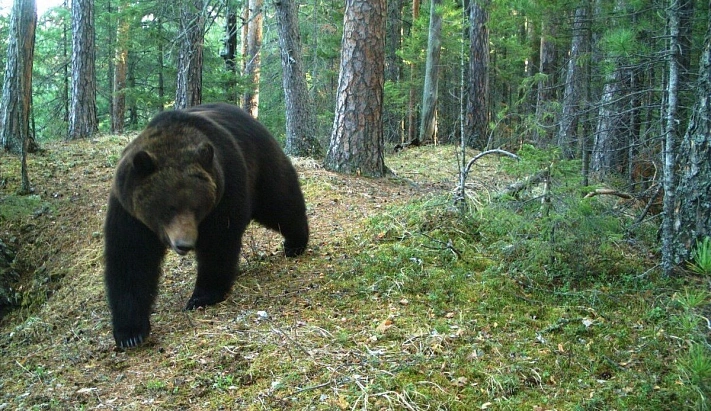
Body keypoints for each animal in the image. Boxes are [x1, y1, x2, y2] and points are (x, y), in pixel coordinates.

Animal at [103, 102, 308, 348]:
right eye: (168, 207)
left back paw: (295, 243)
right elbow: (131, 260)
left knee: (280, 201)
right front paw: (130, 333)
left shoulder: (224, 190)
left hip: (261, 165)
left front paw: (202, 296)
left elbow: (217, 244)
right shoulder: (129, 213)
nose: (185, 244)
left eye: (196, 207)